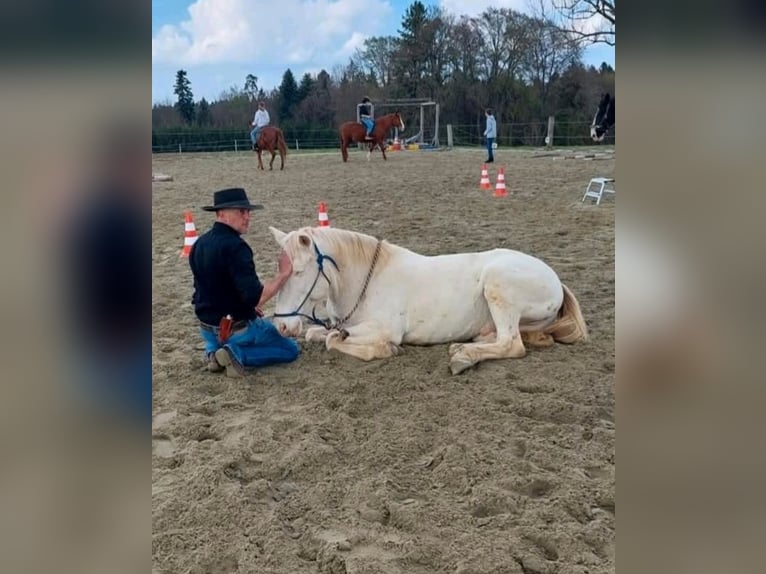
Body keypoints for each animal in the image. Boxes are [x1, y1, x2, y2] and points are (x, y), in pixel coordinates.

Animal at [270, 227, 588, 376]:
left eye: (298, 272)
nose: (282, 328)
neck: (365, 281)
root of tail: (555, 279)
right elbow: (318, 333)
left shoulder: (384, 329)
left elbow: (332, 340)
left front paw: (385, 350)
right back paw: (467, 347)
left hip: (497, 284)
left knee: (512, 344)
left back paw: (462, 357)